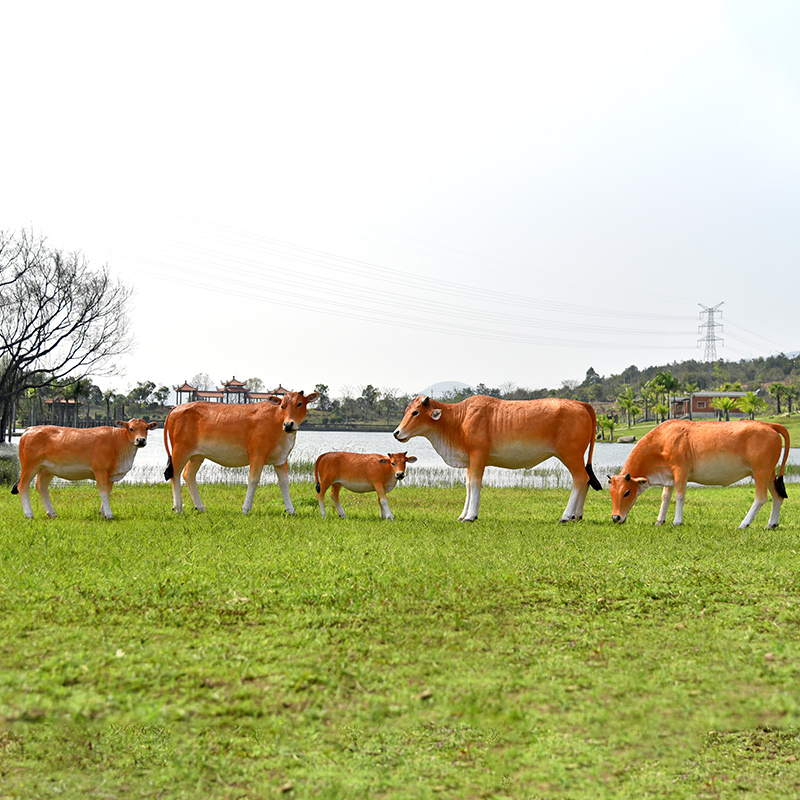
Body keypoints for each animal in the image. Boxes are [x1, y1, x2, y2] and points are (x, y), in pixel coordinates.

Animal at [11, 418, 159, 520]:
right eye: (131, 428)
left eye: (146, 428)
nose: (141, 440)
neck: (117, 442)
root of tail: (29, 429)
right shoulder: (100, 470)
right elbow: (103, 492)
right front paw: (109, 515)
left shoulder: (110, 475)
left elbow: (108, 492)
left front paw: (103, 513)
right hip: (29, 466)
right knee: (23, 486)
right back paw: (29, 514)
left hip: (47, 469)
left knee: (41, 487)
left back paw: (52, 513)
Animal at [163, 390, 318, 516]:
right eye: (282, 406)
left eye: (299, 403)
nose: (288, 424)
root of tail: (177, 407)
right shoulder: (257, 453)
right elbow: (253, 479)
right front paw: (246, 509)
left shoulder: (281, 458)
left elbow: (284, 482)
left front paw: (291, 510)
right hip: (180, 450)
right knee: (174, 474)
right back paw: (178, 508)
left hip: (197, 455)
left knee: (188, 474)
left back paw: (200, 507)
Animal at [394, 396, 600, 520]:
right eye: (406, 411)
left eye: (415, 412)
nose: (396, 433)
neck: (459, 419)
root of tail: (581, 404)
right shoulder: (469, 460)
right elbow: (468, 485)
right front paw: (463, 515)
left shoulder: (478, 456)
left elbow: (476, 484)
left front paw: (471, 516)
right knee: (586, 479)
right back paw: (576, 515)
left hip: (570, 454)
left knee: (580, 478)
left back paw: (566, 516)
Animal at [608, 418, 792, 532]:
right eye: (611, 493)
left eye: (627, 492)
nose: (616, 517)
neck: (663, 440)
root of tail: (768, 425)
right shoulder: (669, 476)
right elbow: (665, 497)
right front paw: (659, 521)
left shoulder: (681, 471)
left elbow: (680, 496)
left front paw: (677, 521)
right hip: (769, 472)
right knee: (777, 496)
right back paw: (771, 524)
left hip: (760, 471)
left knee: (761, 498)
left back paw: (743, 524)